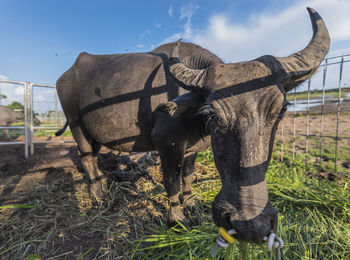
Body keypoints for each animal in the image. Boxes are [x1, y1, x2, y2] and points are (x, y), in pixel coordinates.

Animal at [56, 8, 330, 244]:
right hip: (76, 125)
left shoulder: (191, 148)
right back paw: (99, 196)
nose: (250, 225)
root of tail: (65, 76)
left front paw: (190, 203)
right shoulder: (167, 144)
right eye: (213, 113)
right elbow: (172, 181)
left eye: (281, 110)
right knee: (86, 158)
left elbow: (187, 176)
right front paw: (177, 218)